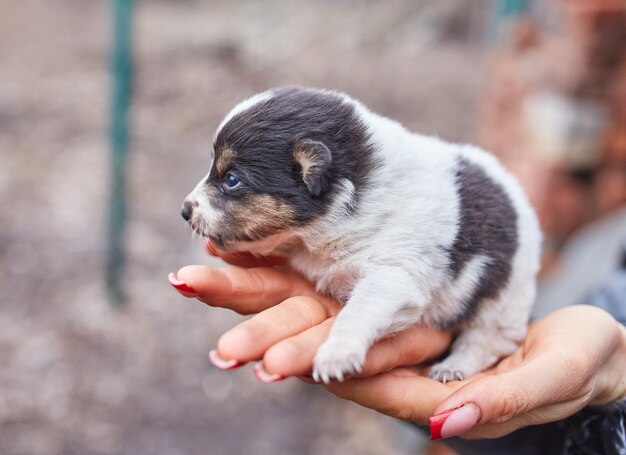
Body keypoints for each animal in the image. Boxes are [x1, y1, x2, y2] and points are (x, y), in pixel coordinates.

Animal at [179, 86, 536, 384]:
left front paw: (336, 355)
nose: (184, 210)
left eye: (232, 180)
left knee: (486, 340)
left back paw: (453, 367)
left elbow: (358, 311)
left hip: (504, 299)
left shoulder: (392, 276)